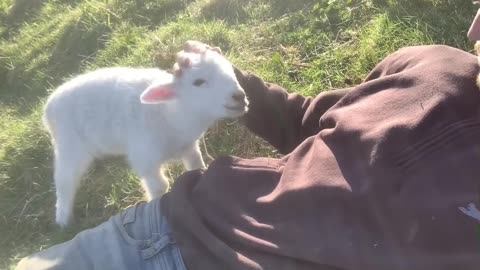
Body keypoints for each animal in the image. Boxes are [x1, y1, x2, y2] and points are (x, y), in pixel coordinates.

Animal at [43, 41, 249, 227]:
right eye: (198, 82)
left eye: (230, 69)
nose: (239, 96)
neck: (172, 114)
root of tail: (49, 107)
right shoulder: (145, 157)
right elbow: (160, 186)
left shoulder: (189, 146)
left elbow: (196, 165)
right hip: (69, 145)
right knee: (64, 180)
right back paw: (63, 219)